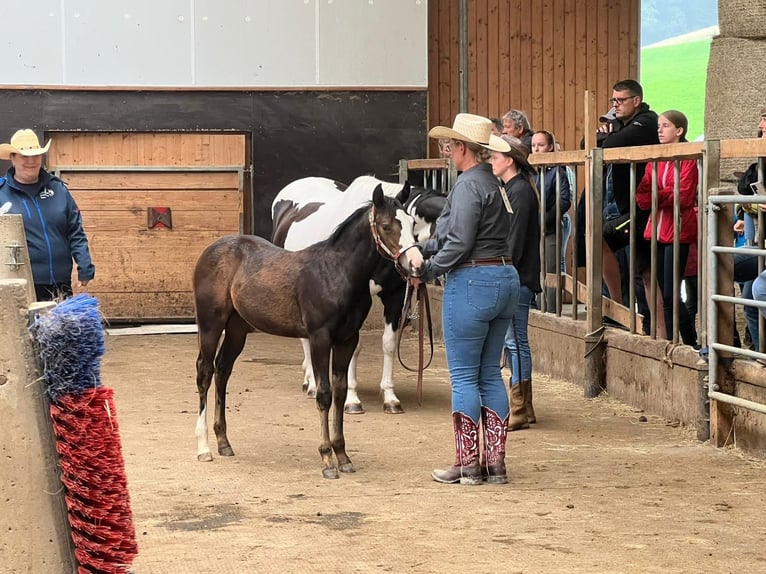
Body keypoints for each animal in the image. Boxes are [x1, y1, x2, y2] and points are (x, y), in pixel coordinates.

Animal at [193, 185, 417, 478]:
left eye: (413, 223)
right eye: (386, 225)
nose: (416, 263)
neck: (337, 272)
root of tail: (211, 249)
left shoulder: (347, 339)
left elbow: (340, 392)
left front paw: (343, 456)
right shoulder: (320, 338)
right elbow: (324, 394)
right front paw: (327, 460)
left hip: (237, 328)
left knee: (223, 370)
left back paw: (223, 442)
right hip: (211, 323)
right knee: (205, 372)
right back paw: (204, 447)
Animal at [271, 175, 446, 414]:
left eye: (411, 223)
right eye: (386, 226)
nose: (416, 264)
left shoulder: (395, 297)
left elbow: (389, 344)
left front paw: (390, 397)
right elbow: (355, 348)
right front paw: (351, 399)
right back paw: (313, 384)